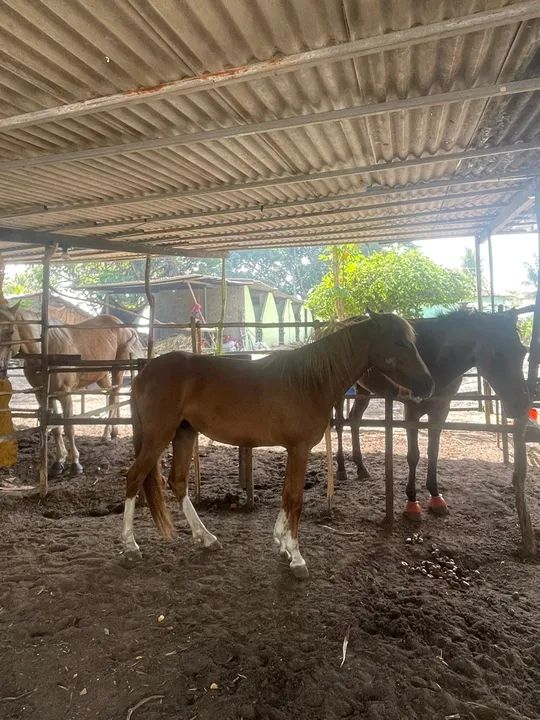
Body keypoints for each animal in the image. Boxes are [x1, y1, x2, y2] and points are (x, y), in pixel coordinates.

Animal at [0, 303, 143, 476]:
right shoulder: (43, 396)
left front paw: (75, 463)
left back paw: (106, 434)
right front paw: (58, 462)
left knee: (114, 395)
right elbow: (56, 429)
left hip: (117, 370)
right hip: (102, 376)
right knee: (112, 396)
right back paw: (113, 431)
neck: (47, 351)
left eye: (11, 331)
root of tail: (125, 327)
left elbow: (69, 428)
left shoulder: (65, 394)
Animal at [121, 310, 434, 579]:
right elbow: (295, 500)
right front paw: (296, 557)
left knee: (178, 482)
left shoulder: (293, 450)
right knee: (134, 478)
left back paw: (206, 537)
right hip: (158, 436)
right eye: (400, 342)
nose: (428, 385)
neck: (310, 382)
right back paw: (130, 546)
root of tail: (143, 373)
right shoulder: (299, 448)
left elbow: (286, 496)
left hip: (185, 434)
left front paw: (282, 543)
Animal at [334, 310, 529, 517]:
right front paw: (411, 502)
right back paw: (341, 469)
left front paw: (436, 497)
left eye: (523, 352)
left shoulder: (441, 411)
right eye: (497, 353)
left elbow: (433, 452)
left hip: (364, 390)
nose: (521, 405)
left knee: (355, 419)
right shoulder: (411, 411)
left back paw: (361, 467)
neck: (436, 357)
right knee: (339, 423)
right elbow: (413, 455)